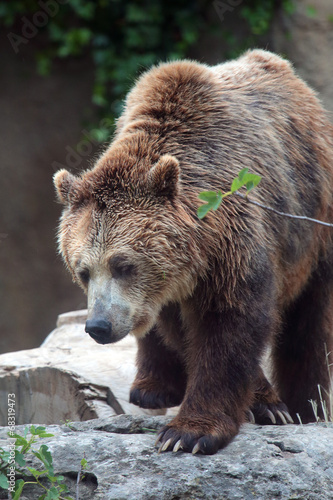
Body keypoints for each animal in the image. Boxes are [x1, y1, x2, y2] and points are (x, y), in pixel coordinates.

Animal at [53, 49, 332, 454]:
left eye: (123, 264)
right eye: (83, 271)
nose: (99, 326)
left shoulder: (233, 241)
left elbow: (228, 324)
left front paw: (189, 433)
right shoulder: (164, 287)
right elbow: (184, 332)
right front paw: (261, 401)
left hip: (314, 223)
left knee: (310, 319)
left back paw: (308, 404)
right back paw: (152, 388)